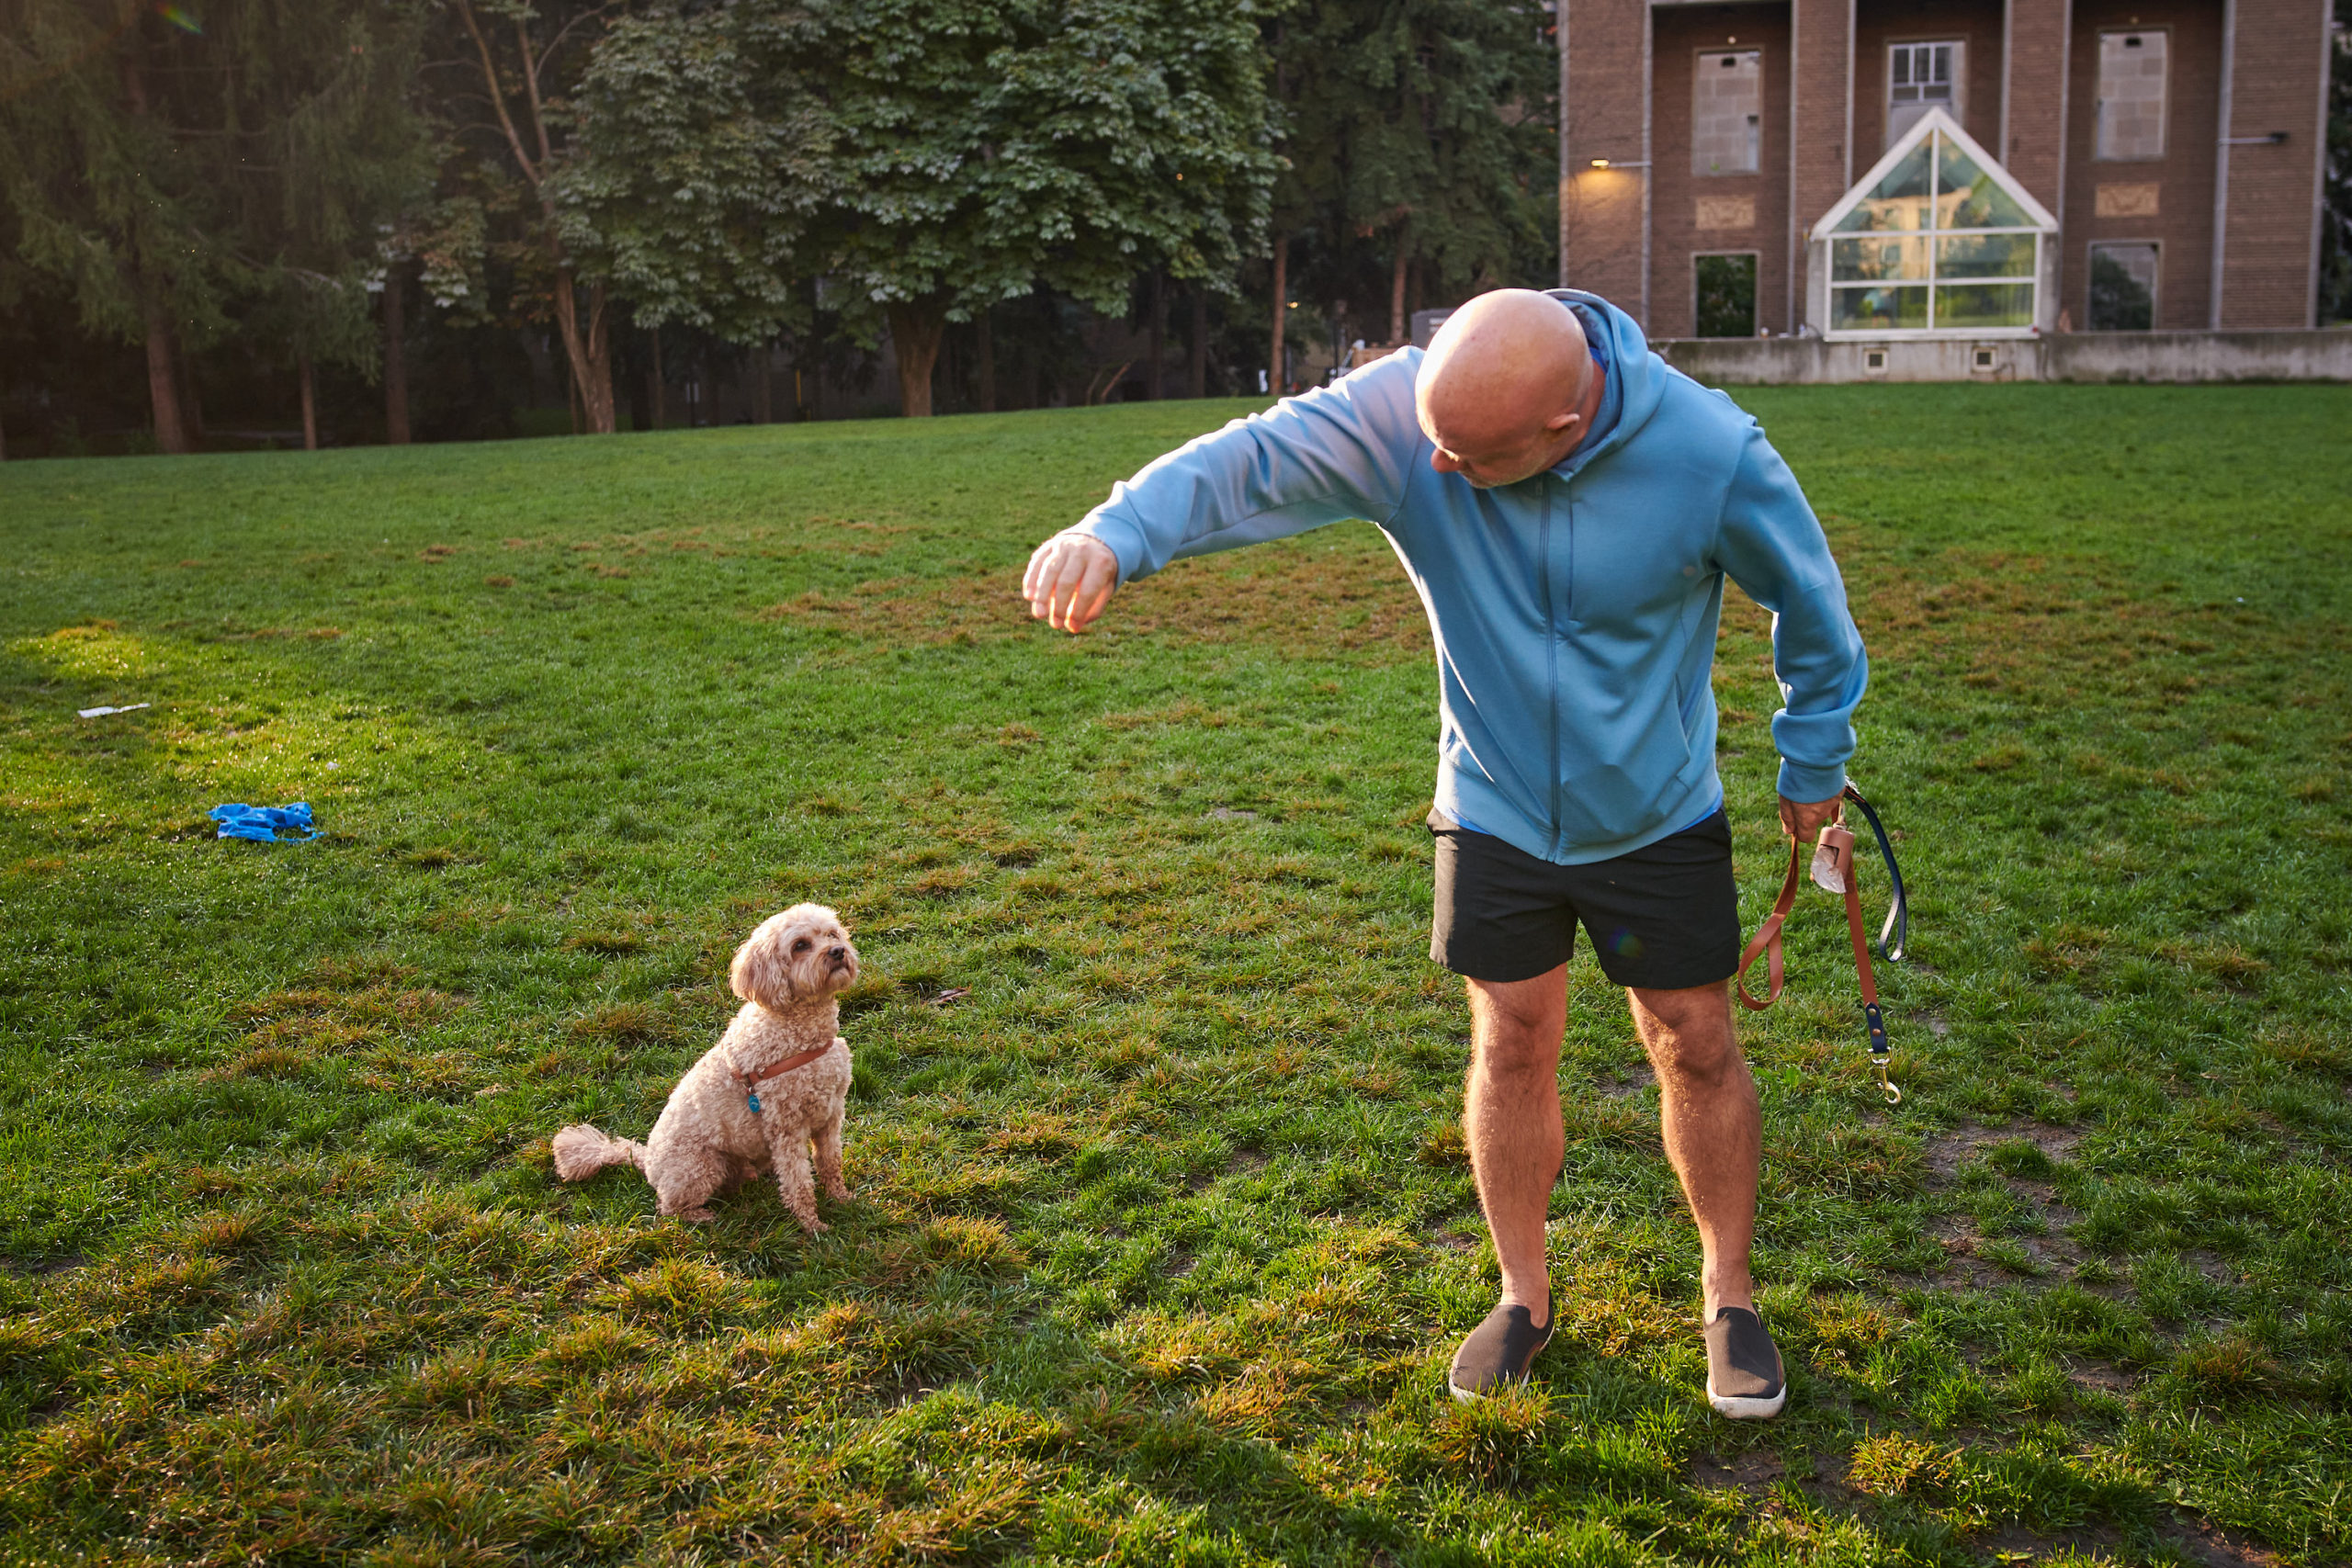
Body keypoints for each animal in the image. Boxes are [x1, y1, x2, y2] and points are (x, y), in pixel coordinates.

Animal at [555, 902, 860, 1232]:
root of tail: (646, 1161)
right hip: (701, 1166)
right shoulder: (786, 1127)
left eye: (832, 934)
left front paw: (841, 1198)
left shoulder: (831, 1114)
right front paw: (811, 1224)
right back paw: (701, 1216)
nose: (838, 951)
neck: (802, 1036)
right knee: (668, 1207)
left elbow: (830, 1162)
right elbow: (798, 1181)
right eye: (800, 945)